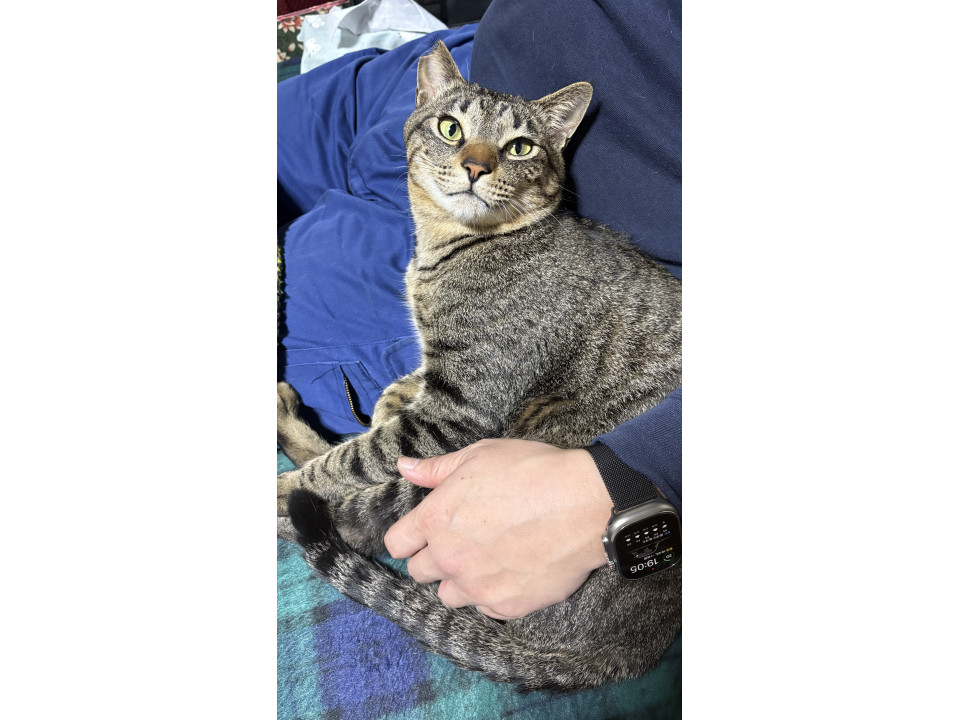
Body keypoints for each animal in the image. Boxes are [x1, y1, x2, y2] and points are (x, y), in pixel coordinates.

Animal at [276, 40, 682, 693]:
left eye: (519, 147)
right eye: (451, 128)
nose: (475, 166)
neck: (446, 248)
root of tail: (629, 650)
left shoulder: (461, 408)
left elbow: (350, 458)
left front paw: (295, 480)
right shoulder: (438, 377)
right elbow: (397, 393)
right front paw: (386, 399)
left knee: (343, 515)